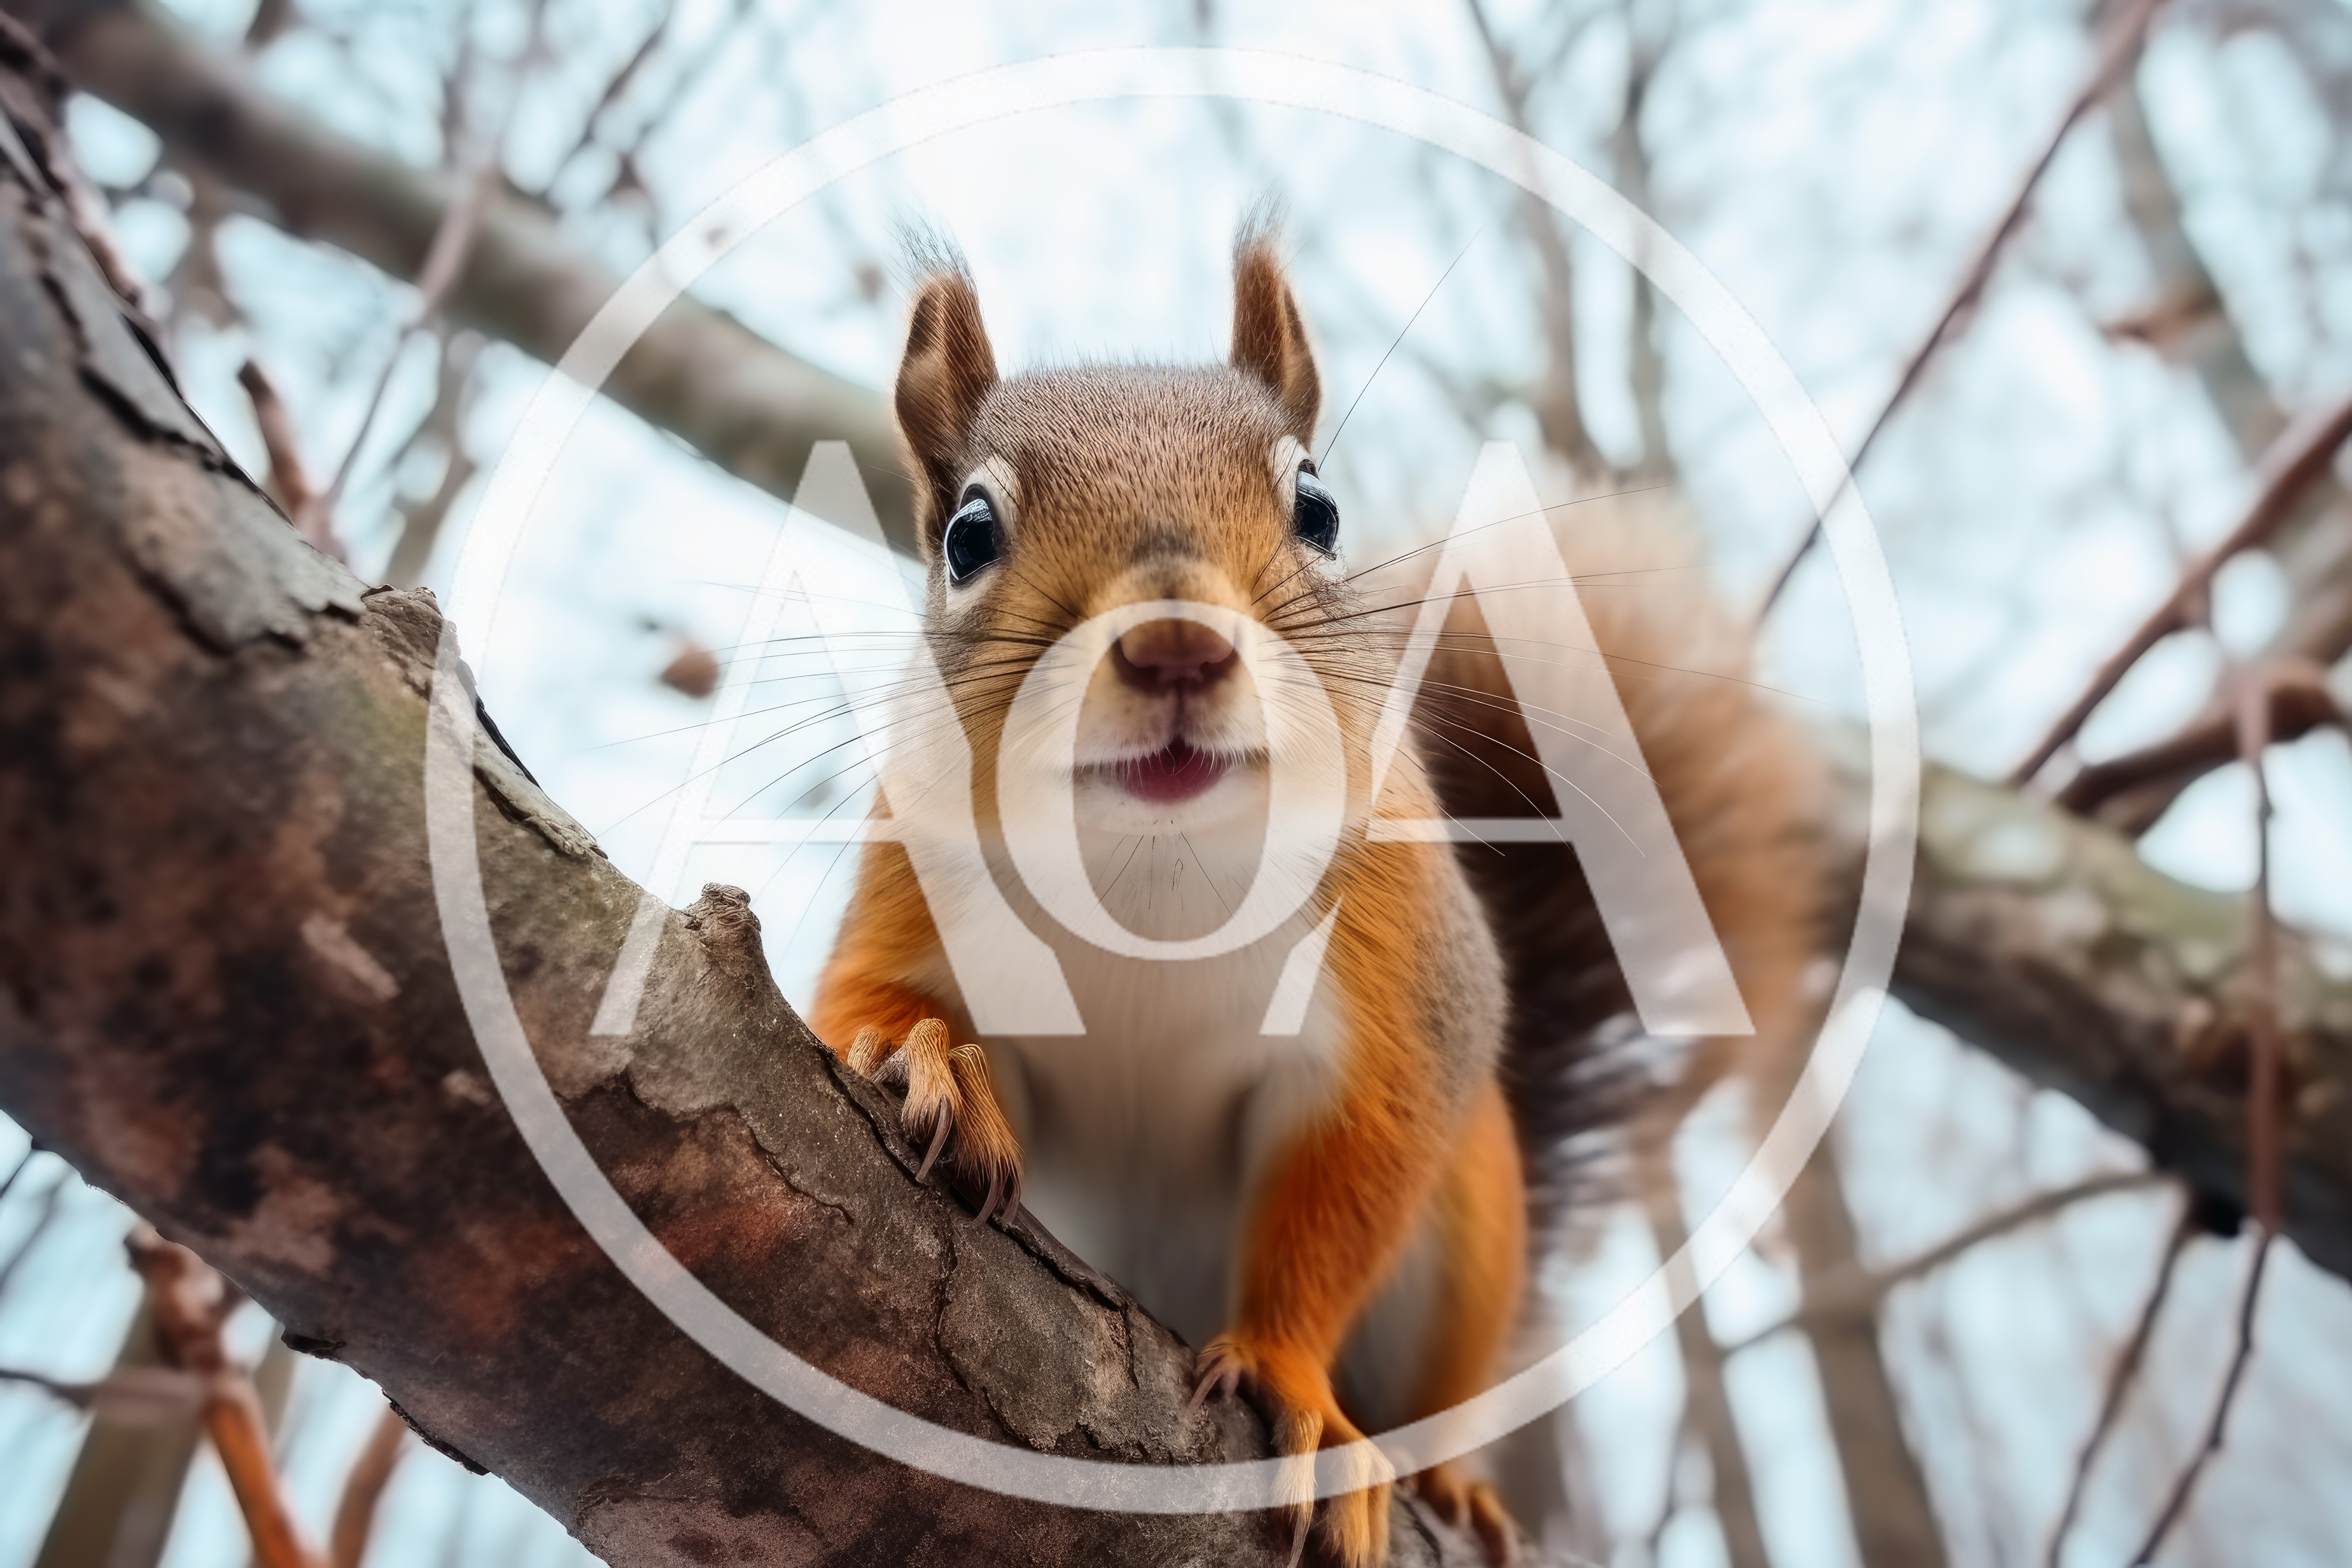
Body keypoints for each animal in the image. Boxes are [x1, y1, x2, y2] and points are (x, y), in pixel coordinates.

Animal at [810, 226, 1822, 1567]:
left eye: (1319, 507)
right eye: (968, 533)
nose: (1175, 644)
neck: (1155, 867)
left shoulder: (1391, 1007)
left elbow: (1341, 1195)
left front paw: (1298, 1391)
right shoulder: (907, 890)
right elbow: (852, 1001)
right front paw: (926, 1058)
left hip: (1473, 1233)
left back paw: (1449, 1482)